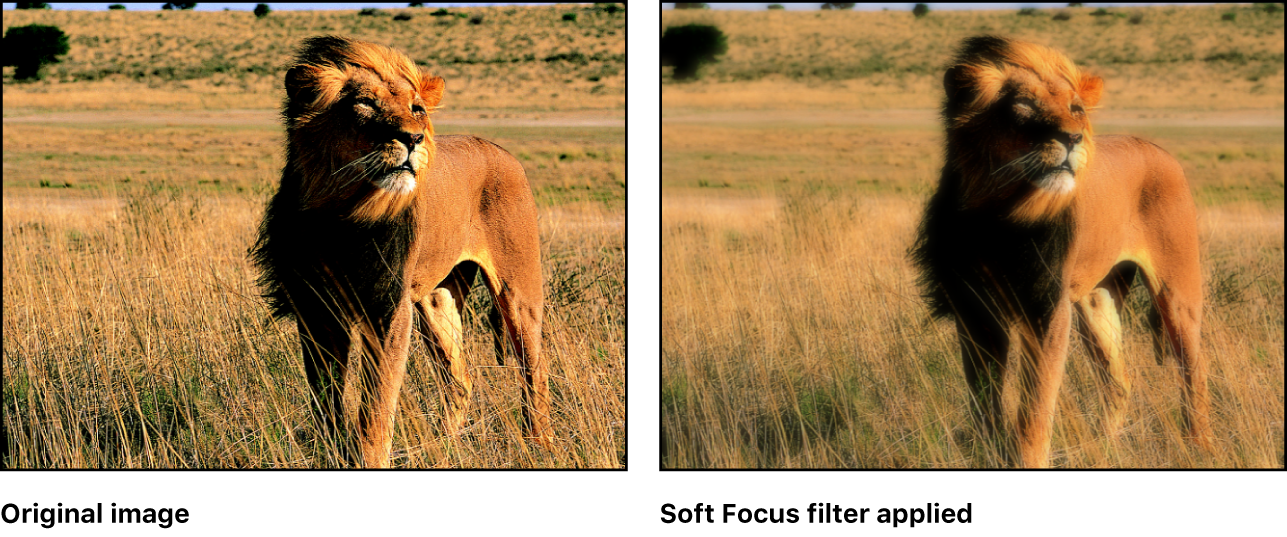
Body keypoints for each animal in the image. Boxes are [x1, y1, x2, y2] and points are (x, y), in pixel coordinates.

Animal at [249, 35, 548, 466]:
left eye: (417, 109)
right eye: (365, 104)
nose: (413, 138)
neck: (342, 213)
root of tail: (501, 150)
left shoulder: (389, 306)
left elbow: (375, 407)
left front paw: (368, 459)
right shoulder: (316, 308)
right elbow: (325, 398)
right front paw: (333, 452)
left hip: (518, 291)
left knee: (533, 370)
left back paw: (538, 445)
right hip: (437, 301)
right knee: (460, 380)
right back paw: (443, 449)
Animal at [911, 35, 1209, 466]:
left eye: (1076, 109)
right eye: (1023, 107)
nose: (1072, 138)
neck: (998, 214)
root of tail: (1157, 147)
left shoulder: (1048, 306)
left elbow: (1035, 408)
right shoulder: (973, 308)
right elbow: (984, 400)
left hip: (1177, 291)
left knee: (1194, 370)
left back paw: (1199, 447)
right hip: (1097, 301)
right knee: (1119, 381)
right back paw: (1104, 451)